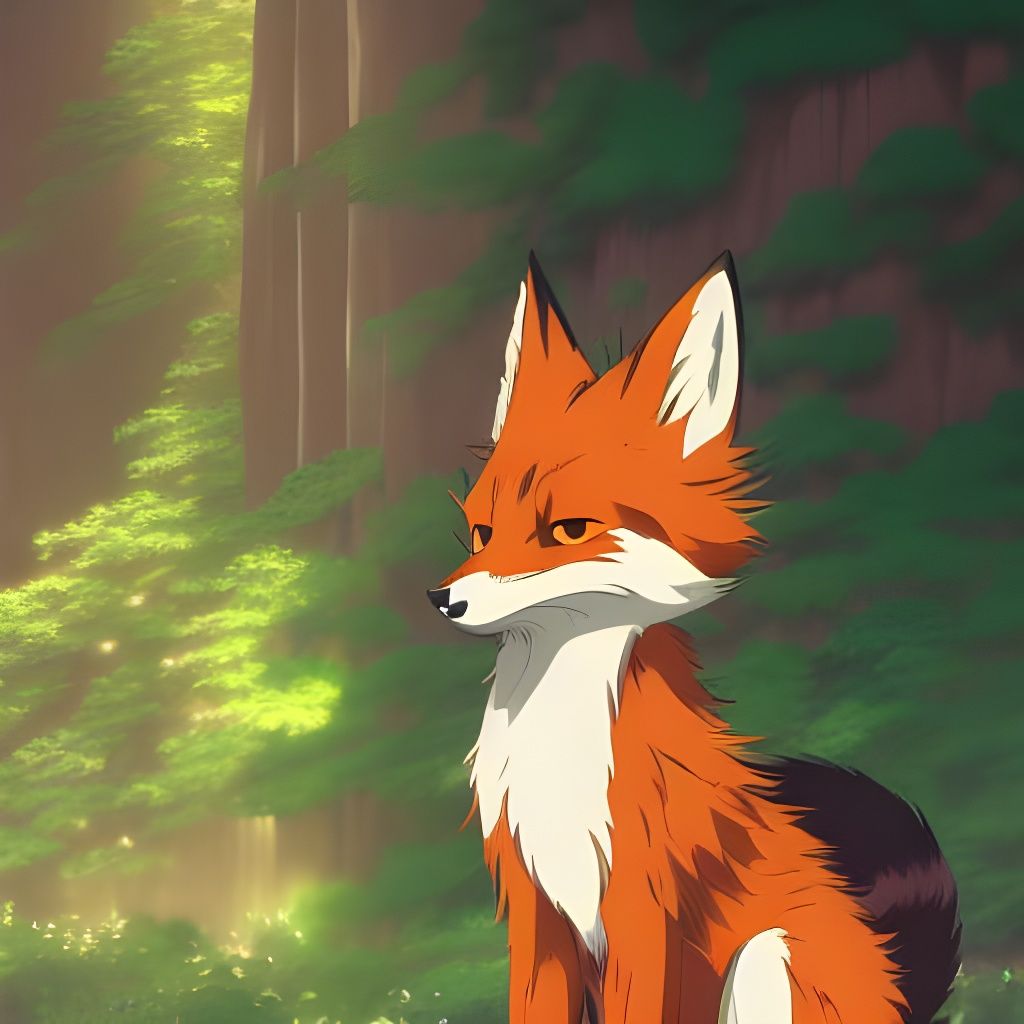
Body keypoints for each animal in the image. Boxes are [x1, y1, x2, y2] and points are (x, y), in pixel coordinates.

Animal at [427, 251, 961, 1024]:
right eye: (481, 532)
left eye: (569, 531)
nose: (443, 600)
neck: (558, 750)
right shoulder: (538, 914)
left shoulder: (641, 913)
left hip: (768, 958)